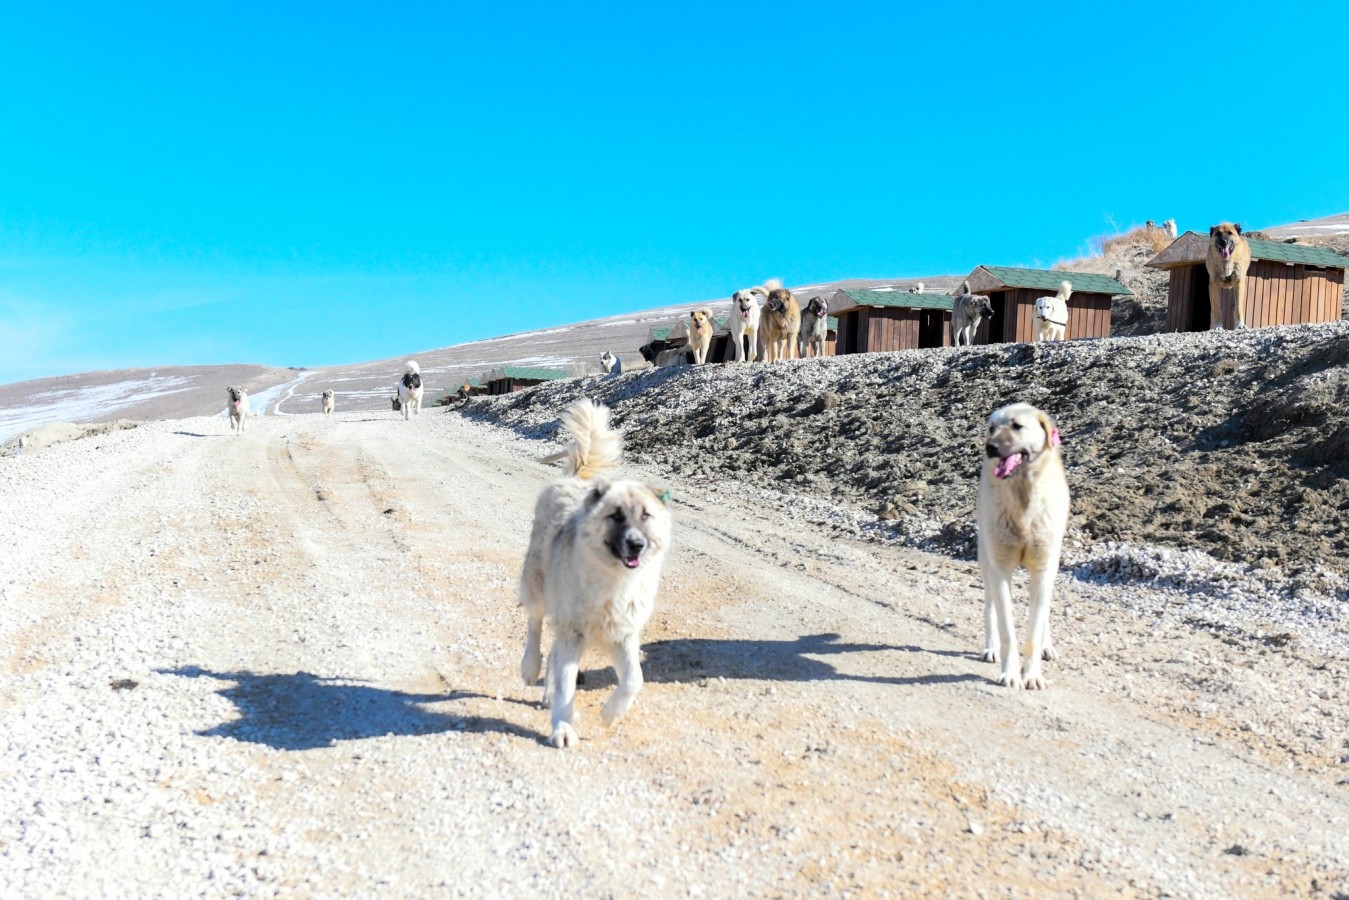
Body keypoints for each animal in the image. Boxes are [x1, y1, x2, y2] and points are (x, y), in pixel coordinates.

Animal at [518, 399, 671, 744]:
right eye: (616, 516)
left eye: (645, 515)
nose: (636, 545)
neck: (614, 581)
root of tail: (573, 480)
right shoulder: (573, 630)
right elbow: (566, 684)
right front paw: (562, 728)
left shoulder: (623, 634)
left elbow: (634, 679)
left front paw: (610, 713)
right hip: (538, 585)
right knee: (535, 625)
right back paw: (530, 668)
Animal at [976, 404, 1068, 696]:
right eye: (992, 428)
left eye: (1017, 426)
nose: (990, 448)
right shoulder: (1000, 569)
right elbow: (1007, 630)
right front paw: (1010, 674)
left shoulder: (1044, 568)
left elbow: (1034, 629)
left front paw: (1032, 675)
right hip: (986, 560)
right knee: (990, 606)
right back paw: (991, 647)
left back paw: (1047, 646)